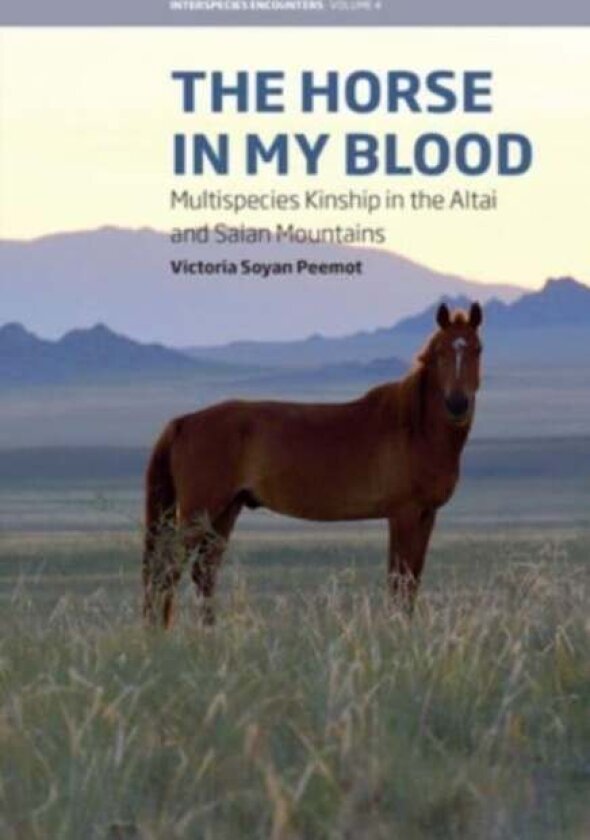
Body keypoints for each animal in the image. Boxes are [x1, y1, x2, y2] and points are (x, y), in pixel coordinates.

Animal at [143, 301, 483, 627]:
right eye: (440, 352)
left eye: (477, 349)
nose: (457, 404)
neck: (415, 428)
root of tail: (184, 422)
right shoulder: (404, 514)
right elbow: (399, 580)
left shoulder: (427, 515)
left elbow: (412, 581)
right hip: (199, 512)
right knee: (168, 568)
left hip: (225, 511)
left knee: (203, 572)